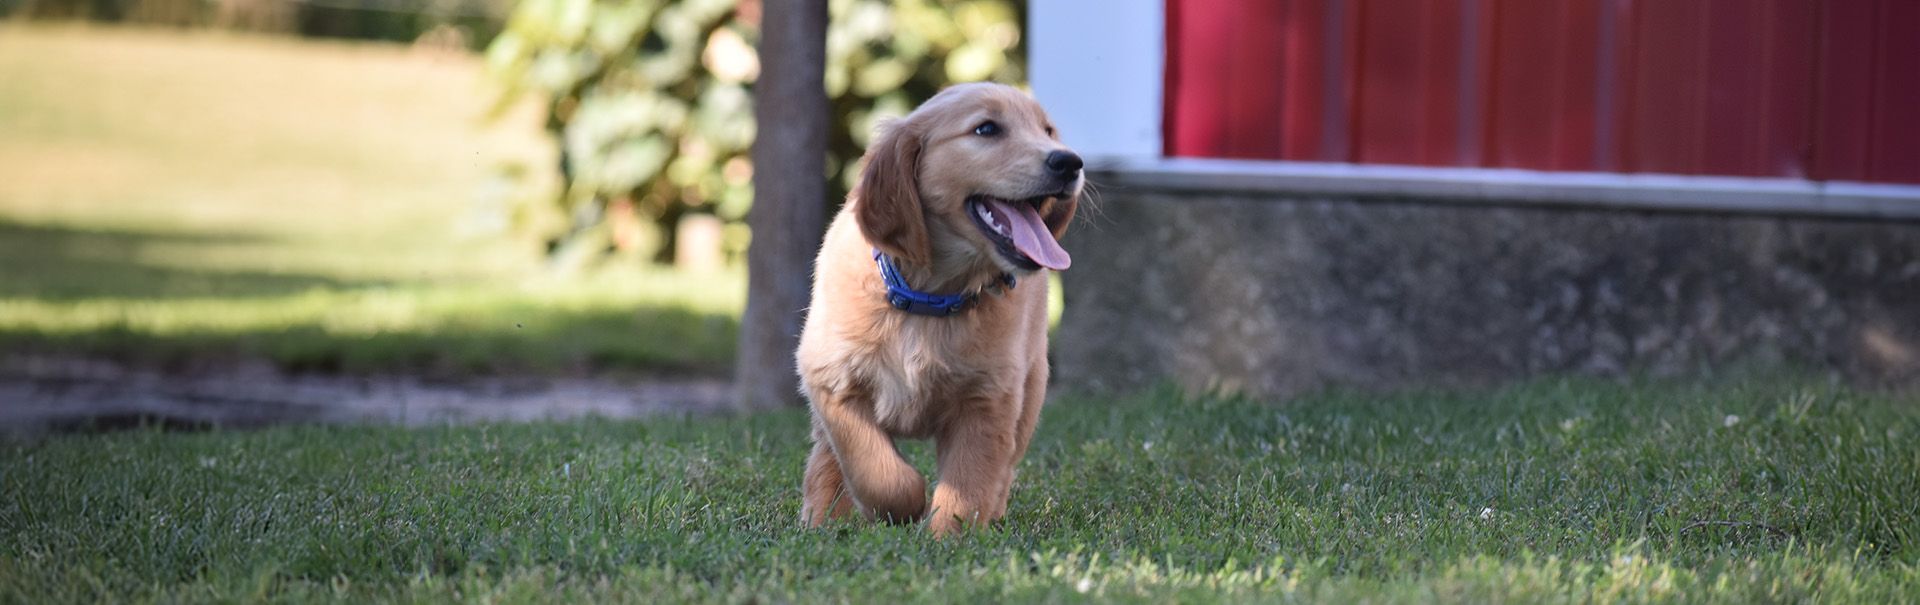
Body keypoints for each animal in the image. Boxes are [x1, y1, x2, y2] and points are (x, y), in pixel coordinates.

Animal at [798, 83, 1082, 537]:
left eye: (1048, 131)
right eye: (986, 129)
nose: (1070, 162)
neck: (931, 298)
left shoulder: (989, 397)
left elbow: (970, 480)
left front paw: (949, 536)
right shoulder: (830, 378)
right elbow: (872, 464)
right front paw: (902, 505)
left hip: (1032, 387)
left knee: (1005, 466)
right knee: (827, 457)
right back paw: (821, 520)